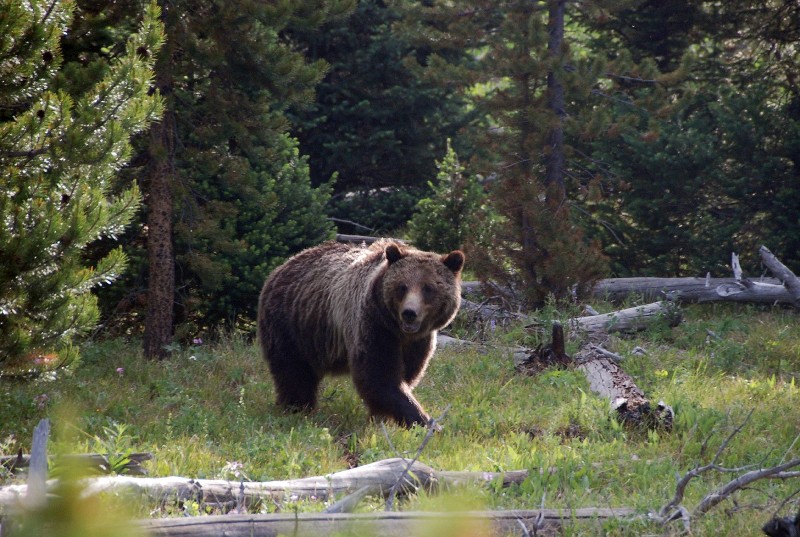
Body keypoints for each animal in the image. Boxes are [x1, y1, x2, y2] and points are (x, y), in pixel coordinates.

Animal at [260, 239, 462, 428]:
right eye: (402, 286)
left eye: (428, 288)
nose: (409, 313)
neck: (399, 332)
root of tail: (283, 265)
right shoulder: (374, 325)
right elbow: (380, 377)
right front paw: (425, 421)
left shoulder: (418, 342)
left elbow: (406, 374)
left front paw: (383, 417)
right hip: (292, 326)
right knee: (293, 371)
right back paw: (297, 407)